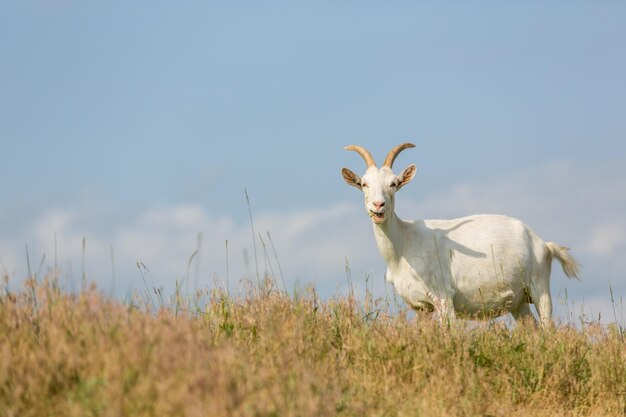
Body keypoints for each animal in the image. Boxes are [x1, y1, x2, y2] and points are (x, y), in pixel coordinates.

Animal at [344, 143, 576, 324]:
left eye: (394, 184)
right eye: (364, 184)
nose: (378, 205)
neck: (404, 244)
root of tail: (543, 244)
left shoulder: (443, 295)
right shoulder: (420, 306)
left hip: (540, 287)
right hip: (519, 302)